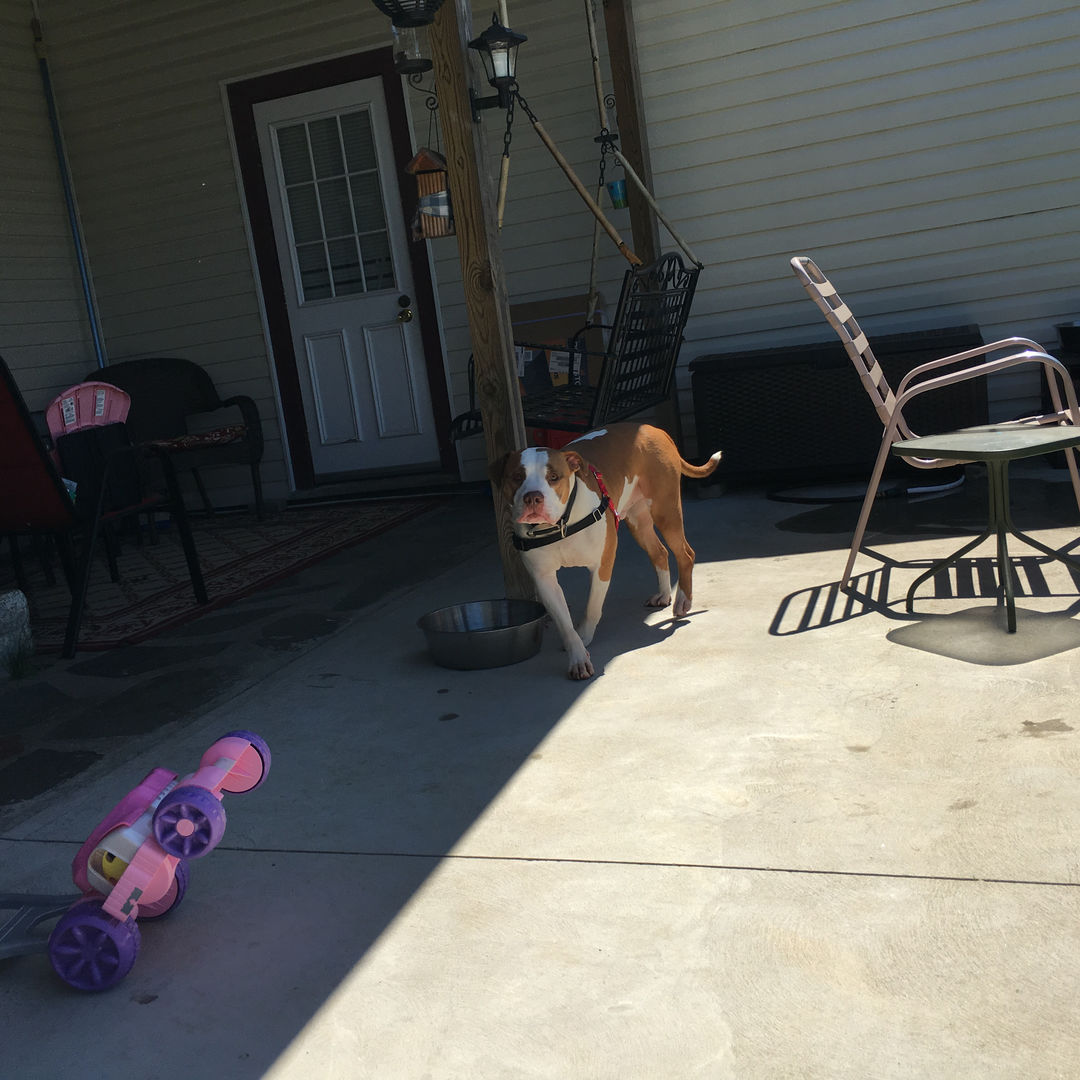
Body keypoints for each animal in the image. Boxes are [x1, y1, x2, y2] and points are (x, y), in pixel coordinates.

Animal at [489, 422, 722, 679]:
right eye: (517, 477)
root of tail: (654, 429)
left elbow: (592, 607)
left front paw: (585, 634)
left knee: (685, 554)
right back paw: (664, 594)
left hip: (665, 510)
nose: (533, 497)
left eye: (553, 477)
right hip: (638, 522)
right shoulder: (544, 579)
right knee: (660, 552)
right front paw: (578, 658)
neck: (561, 524)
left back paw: (682, 601)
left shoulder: (603, 563)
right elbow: (565, 624)